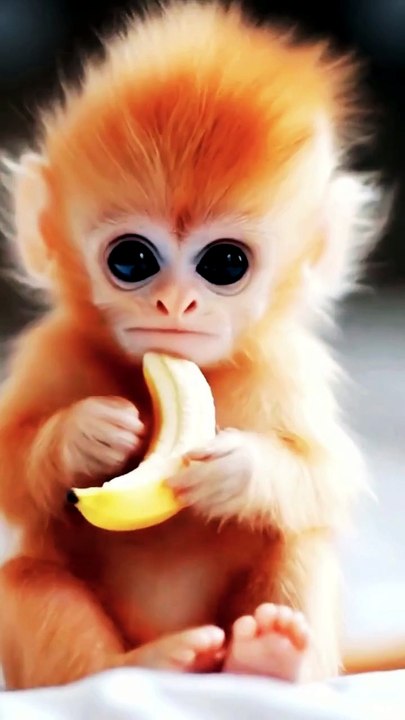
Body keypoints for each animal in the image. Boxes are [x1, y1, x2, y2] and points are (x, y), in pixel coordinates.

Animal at [0, 0, 382, 690]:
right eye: (132, 260)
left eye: (225, 264)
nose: (175, 304)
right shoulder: (52, 351)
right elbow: (7, 465)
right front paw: (85, 434)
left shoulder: (288, 368)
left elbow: (328, 475)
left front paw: (239, 468)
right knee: (27, 582)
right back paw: (144, 663)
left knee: (303, 544)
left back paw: (271, 657)